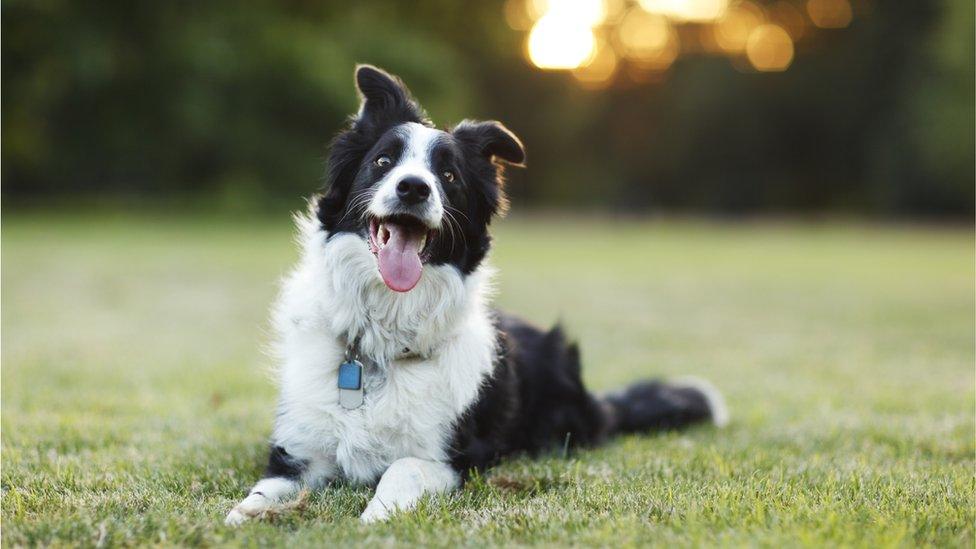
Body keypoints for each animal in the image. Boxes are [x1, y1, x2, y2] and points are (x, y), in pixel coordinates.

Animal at [225, 66, 728, 524]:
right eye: (383, 162)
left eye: (448, 175)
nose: (414, 187)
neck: (382, 343)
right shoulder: (298, 451)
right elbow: (265, 489)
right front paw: (244, 515)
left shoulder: (456, 458)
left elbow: (403, 467)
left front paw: (375, 515)